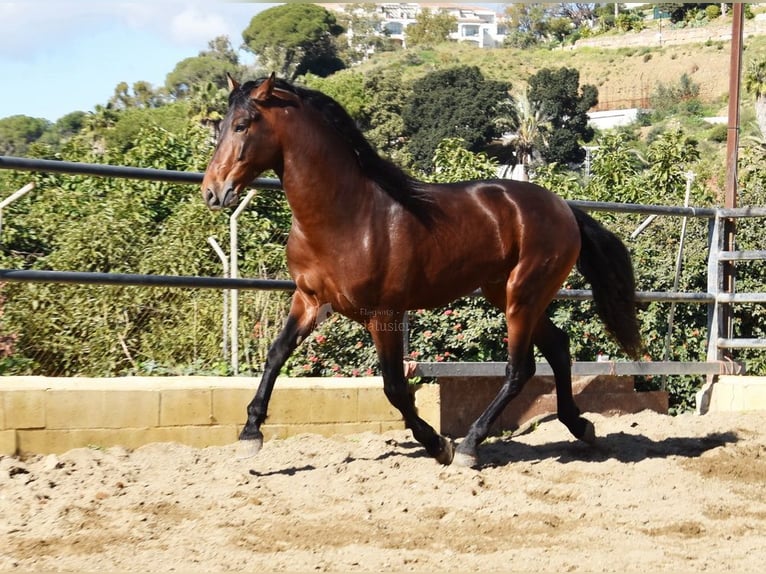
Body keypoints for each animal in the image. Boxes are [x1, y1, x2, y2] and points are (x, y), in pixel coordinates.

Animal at [201, 73, 644, 468]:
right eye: (218, 126)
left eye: (242, 125)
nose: (212, 191)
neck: (346, 215)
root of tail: (563, 208)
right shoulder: (309, 300)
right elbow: (275, 356)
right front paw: (250, 435)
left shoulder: (384, 315)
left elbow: (395, 387)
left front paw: (438, 445)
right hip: (507, 294)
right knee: (558, 348)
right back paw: (580, 426)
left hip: (524, 295)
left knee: (520, 369)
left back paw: (470, 446)